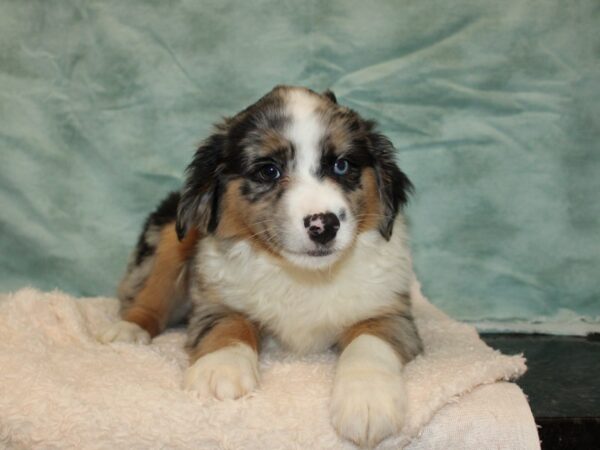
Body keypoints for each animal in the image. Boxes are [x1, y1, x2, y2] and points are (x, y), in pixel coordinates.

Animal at [99, 85, 422, 446]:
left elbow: (369, 342)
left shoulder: (391, 311)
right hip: (172, 235)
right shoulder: (215, 300)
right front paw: (220, 369)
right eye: (269, 171)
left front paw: (367, 401)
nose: (323, 225)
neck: (305, 277)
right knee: (152, 293)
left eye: (341, 165)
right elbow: (229, 325)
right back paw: (129, 328)